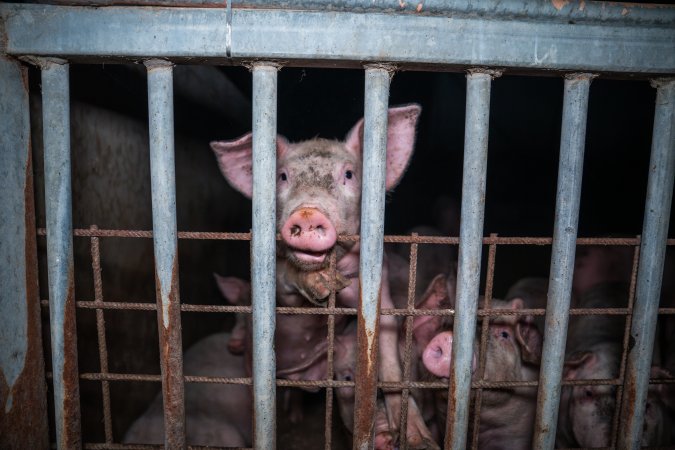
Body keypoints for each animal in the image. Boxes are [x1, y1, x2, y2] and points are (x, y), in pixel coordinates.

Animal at [210, 104, 438, 446]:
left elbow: (391, 367)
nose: (307, 213)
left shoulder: (379, 287)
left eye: (349, 174)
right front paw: (320, 283)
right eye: (282, 176)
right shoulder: (274, 273)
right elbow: (287, 276)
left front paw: (420, 440)